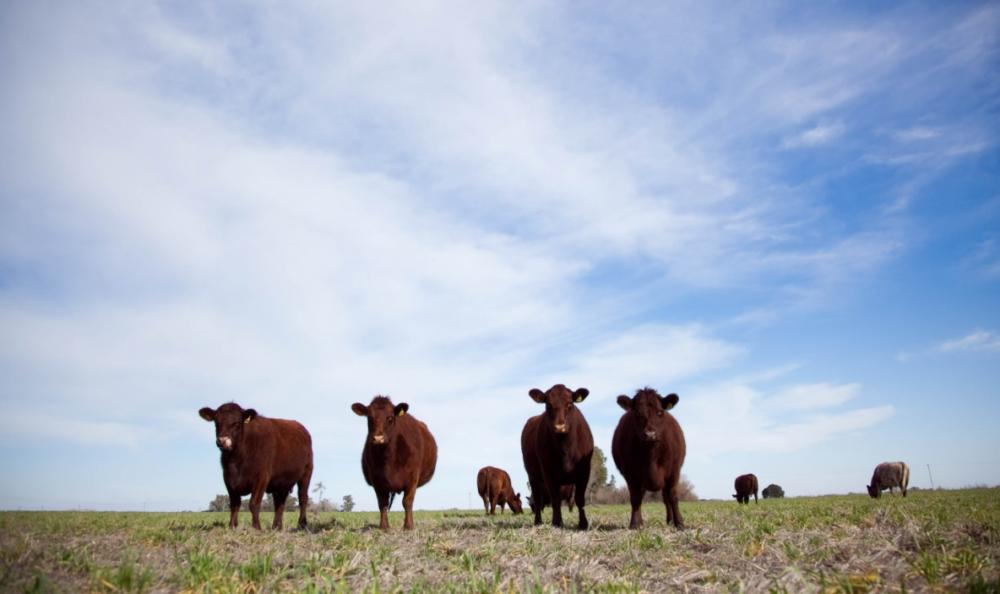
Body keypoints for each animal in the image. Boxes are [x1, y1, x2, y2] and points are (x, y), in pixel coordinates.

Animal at [199, 400, 312, 528]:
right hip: (281, 482)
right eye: (216, 423)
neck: (237, 461)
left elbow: (253, 504)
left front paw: (256, 527)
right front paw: (232, 526)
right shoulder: (228, 479)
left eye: (237, 423)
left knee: (303, 498)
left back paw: (302, 524)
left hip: (306, 473)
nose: (222, 441)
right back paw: (276, 527)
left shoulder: (261, 477)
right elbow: (234, 504)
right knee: (279, 503)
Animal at [350, 394, 436, 528]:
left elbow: (407, 502)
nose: (378, 438)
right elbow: (382, 503)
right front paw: (384, 526)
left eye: (390, 418)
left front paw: (408, 526)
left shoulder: (413, 477)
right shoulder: (377, 480)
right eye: (369, 418)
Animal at [520, 384, 588, 528]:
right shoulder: (548, 472)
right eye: (548, 404)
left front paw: (583, 523)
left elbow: (579, 499)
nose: (559, 426)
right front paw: (557, 522)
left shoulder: (584, 471)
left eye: (570, 404)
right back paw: (538, 521)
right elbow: (555, 499)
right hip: (533, 476)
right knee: (538, 498)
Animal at [608, 388, 688, 528]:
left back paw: (670, 521)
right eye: (637, 413)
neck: (651, 456)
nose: (650, 434)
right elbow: (635, 498)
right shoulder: (630, 475)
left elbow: (673, 496)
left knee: (666, 498)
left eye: (659, 412)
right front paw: (635, 524)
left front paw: (679, 523)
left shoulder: (674, 471)